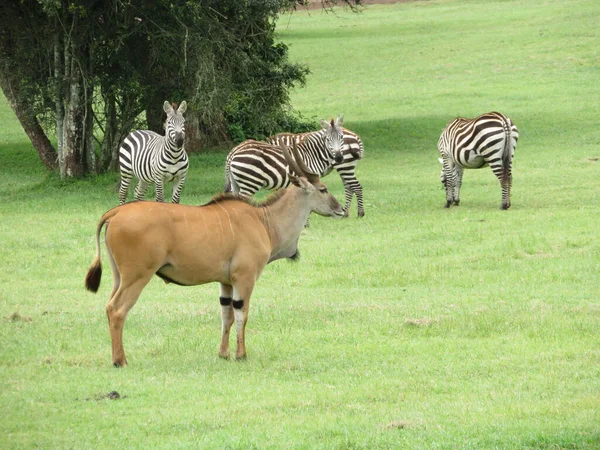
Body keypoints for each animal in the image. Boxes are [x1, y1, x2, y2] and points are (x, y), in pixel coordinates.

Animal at [86, 142, 344, 368]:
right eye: (323, 189)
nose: (341, 209)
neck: (264, 221)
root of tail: (115, 213)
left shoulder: (225, 282)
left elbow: (226, 315)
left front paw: (223, 354)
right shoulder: (245, 278)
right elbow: (242, 314)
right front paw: (241, 355)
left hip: (119, 277)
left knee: (108, 306)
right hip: (137, 276)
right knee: (117, 310)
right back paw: (120, 361)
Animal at [225, 116, 366, 218]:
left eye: (341, 137)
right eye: (328, 139)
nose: (338, 157)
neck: (313, 153)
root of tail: (233, 152)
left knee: (352, 187)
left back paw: (351, 213)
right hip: (249, 182)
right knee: (353, 187)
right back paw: (356, 213)